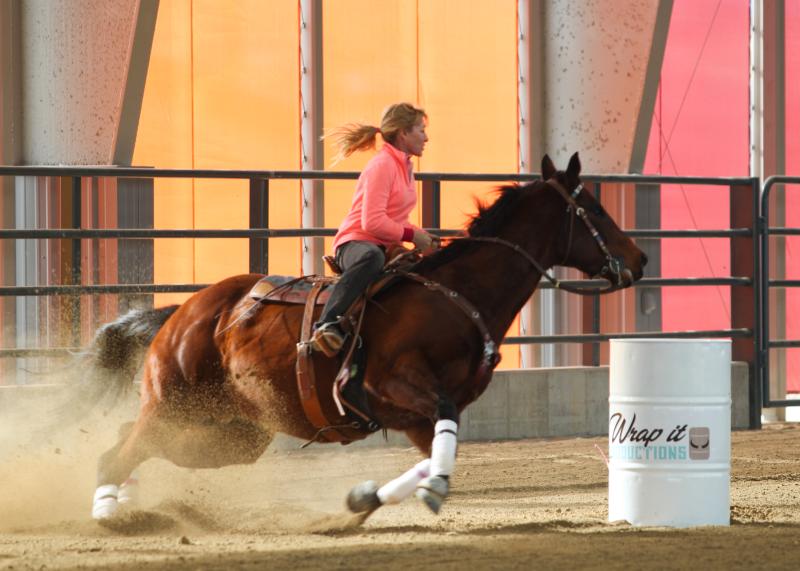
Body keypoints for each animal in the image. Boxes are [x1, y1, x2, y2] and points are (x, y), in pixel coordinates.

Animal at [83, 153, 644, 524]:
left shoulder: (418, 417)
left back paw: (126, 502)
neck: (457, 295)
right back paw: (108, 512)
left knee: (128, 440)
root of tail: (182, 313)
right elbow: (441, 446)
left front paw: (364, 501)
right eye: (594, 209)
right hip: (177, 405)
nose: (639, 260)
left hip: (226, 432)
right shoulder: (393, 388)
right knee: (118, 450)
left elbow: (436, 454)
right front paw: (428, 491)